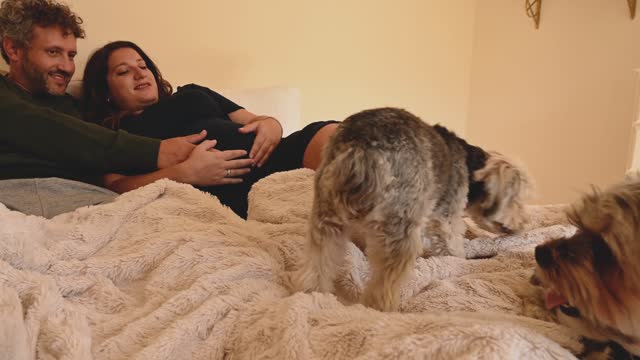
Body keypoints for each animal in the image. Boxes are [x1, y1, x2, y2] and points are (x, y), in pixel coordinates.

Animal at [292, 107, 532, 312]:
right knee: (385, 281)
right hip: (399, 222)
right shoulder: (447, 217)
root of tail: (359, 149)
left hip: (327, 212)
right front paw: (460, 259)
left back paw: (313, 294)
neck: (470, 165)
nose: (525, 223)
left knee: (319, 260)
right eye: (518, 199)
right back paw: (382, 308)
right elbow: (453, 245)